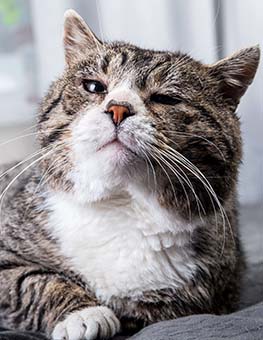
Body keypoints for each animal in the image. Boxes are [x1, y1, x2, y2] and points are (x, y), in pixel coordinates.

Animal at [0, 7, 260, 340]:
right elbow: (35, 282)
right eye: (94, 87)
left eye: (166, 98)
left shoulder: (200, 295)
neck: (119, 205)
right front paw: (84, 314)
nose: (118, 108)